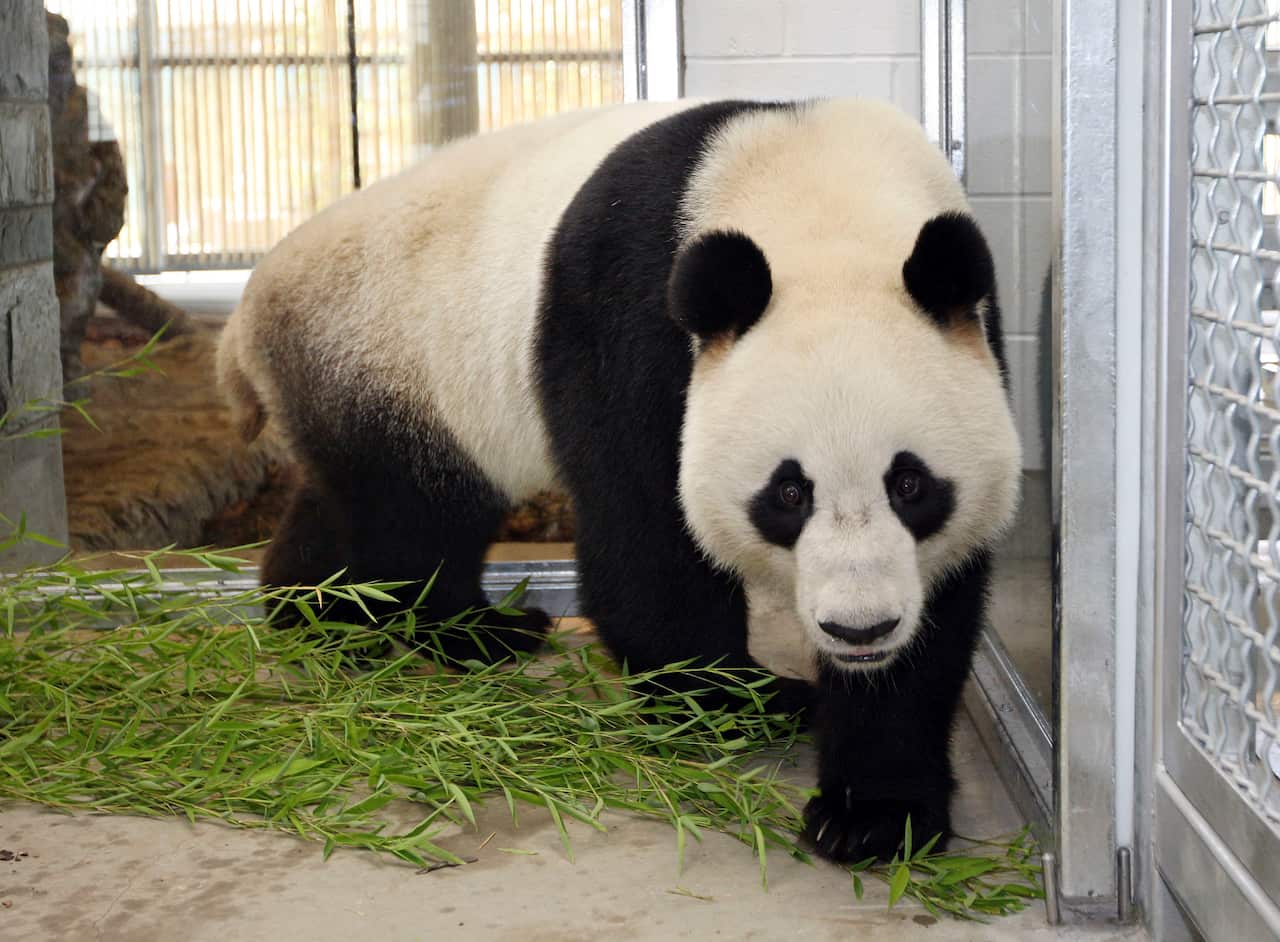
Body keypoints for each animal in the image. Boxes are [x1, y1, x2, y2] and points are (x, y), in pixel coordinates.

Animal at [217, 97, 1022, 864]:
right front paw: (729, 699)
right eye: (788, 493)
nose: (859, 628)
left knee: (357, 504)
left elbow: (937, 612)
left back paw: (321, 606)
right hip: (398, 360)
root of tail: (243, 320)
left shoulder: (975, 336)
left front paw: (877, 815)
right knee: (413, 521)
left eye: (911, 486)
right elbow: (646, 531)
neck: (816, 202)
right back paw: (460, 629)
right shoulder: (631, 310)